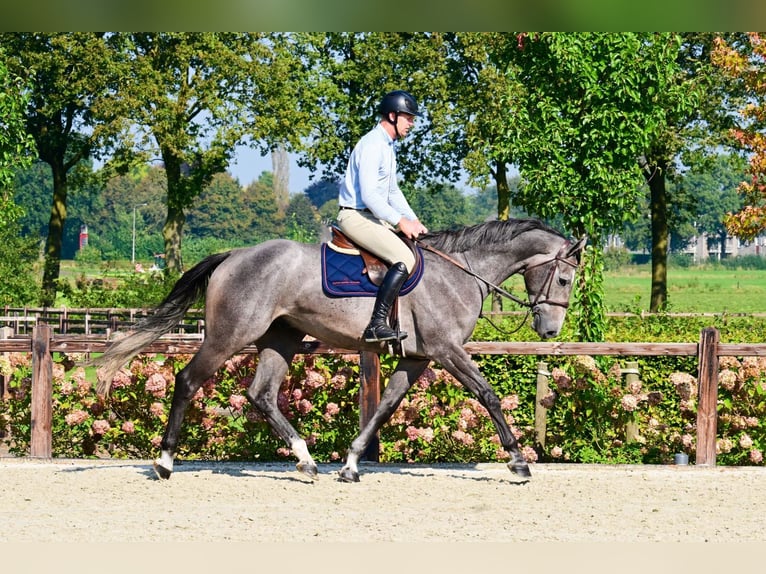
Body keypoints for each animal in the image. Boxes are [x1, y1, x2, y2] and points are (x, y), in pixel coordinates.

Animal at [94, 218, 588, 484]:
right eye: (564, 278)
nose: (550, 328)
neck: (460, 272)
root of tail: (234, 255)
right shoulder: (447, 351)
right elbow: (487, 396)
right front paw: (518, 461)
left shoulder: (417, 357)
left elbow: (385, 407)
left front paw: (350, 464)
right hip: (227, 336)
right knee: (188, 381)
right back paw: (164, 462)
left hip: (281, 339)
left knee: (261, 394)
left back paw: (306, 460)